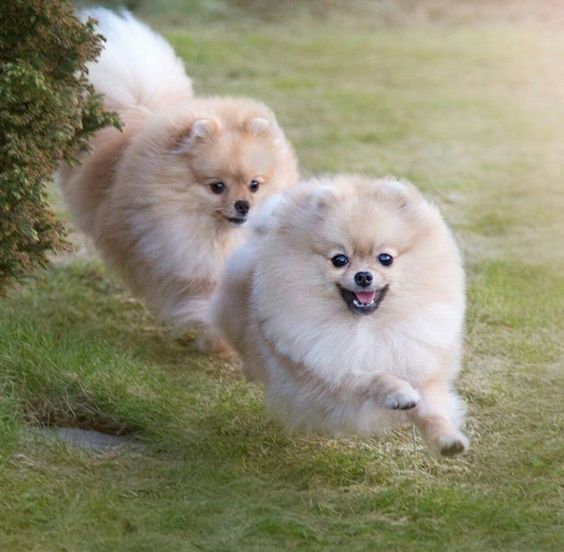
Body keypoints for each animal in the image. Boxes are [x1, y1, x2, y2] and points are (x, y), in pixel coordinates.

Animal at [60, 8, 300, 350]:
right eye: (217, 187)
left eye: (255, 185)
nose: (243, 205)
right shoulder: (188, 264)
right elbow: (206, 303)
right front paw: (219, 338)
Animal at [210, 175, 468, 454]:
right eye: (339, 260)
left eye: (385, 258)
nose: (363, 276)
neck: (366, 327)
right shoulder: (329, 371)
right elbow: (375, 378)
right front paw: (399, 392)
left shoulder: (418, 363)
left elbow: (431, 410)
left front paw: (448, 440)